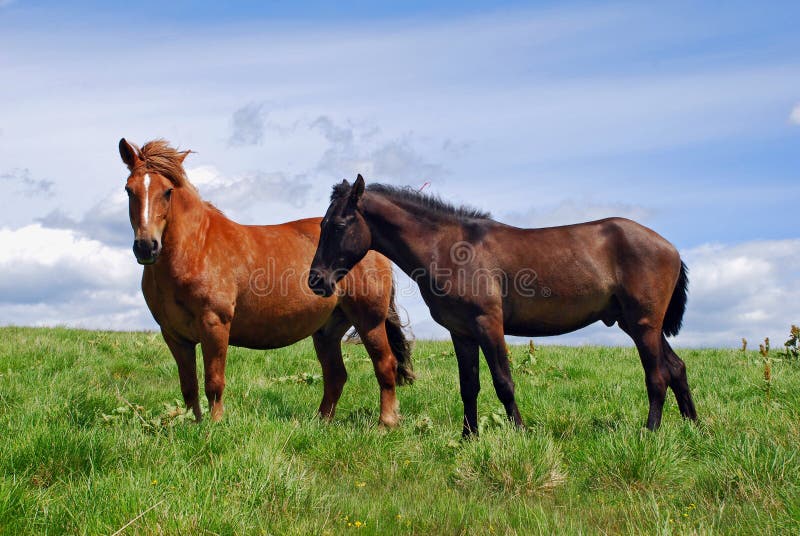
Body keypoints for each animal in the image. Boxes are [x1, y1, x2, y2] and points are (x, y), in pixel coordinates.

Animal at [123, 140, 418, 426]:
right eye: (129, 190)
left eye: (167, 191)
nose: (146, 246)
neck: (196, 248)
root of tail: (373, 246)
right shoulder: (174, 336)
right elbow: (189, 387)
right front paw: (193, 425)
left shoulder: (214, 325)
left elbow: (213, 383)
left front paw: (214, 427)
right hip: (327, 330)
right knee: (336, 376)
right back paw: (320, 423)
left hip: (369, 319)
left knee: (385, 365)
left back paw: (386, 422)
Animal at [310, 175, 696, 436]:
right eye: (322, 223)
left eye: (339, 224)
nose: (316, 281)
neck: (451, 248)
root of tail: (670, 247)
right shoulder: (462, 333)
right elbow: (469, 386)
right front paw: (468, 437)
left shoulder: (488, 324)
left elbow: (503, 382)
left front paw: (520, 432)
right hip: (636, 323)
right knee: (676, 367)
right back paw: (693, 427)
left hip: (644, 324)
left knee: (657, 375)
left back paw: (650, 432)